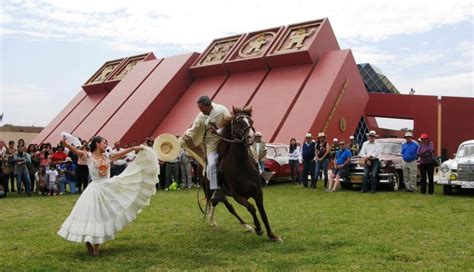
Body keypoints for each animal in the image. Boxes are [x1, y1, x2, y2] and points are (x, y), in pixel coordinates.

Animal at [200, 106, 282, 242]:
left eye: (251, 121)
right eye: (238, 122)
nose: (251, 137)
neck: (241, 166)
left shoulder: (258, 193)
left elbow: (263, 213)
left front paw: (272, 235)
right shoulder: (238, 196)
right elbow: (251, 208)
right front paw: (258, 228)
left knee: (219, 205)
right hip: (215, 193)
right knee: (225, 206)